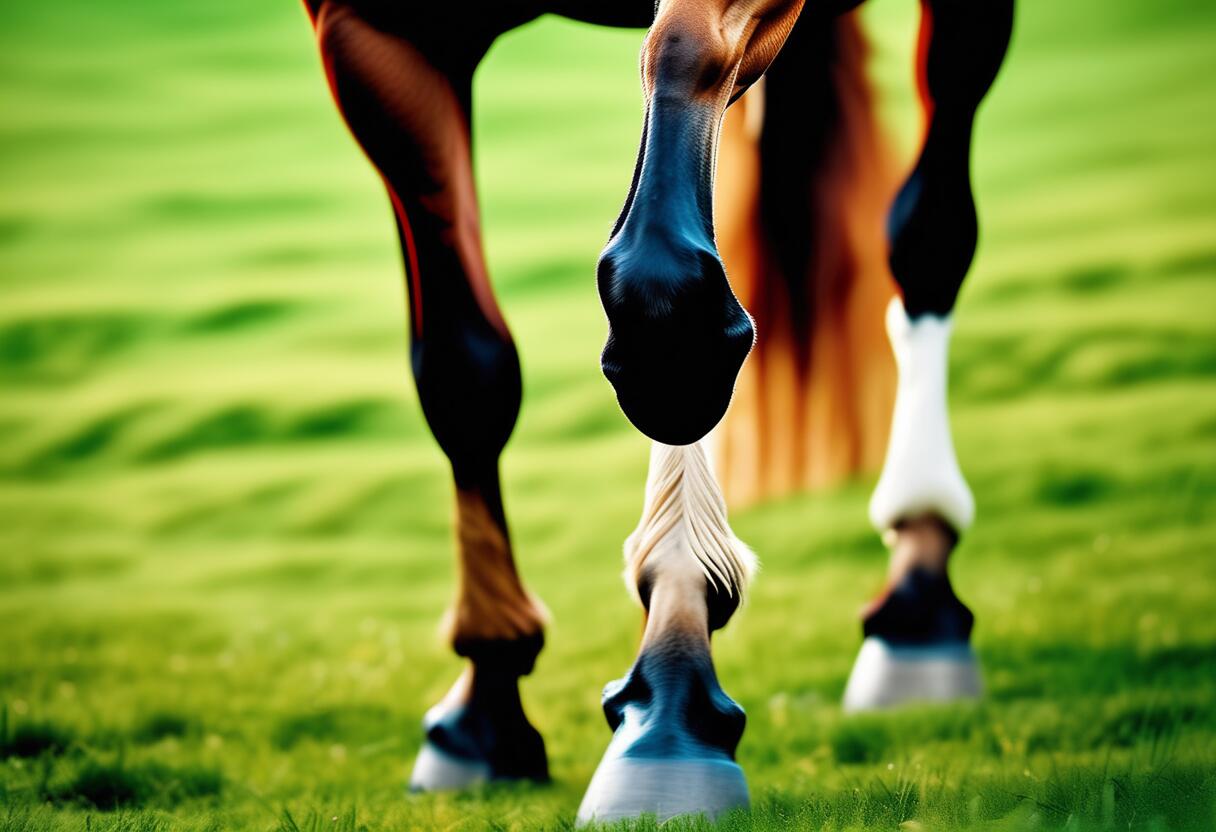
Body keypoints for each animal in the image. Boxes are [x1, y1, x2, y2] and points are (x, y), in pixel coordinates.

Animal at [300, 0, 1013, 822]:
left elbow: (670, 298)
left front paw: (673, 707)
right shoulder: (371, 31)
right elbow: (464, 372)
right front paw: (486, 705)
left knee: (929, 237)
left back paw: (919, 594)